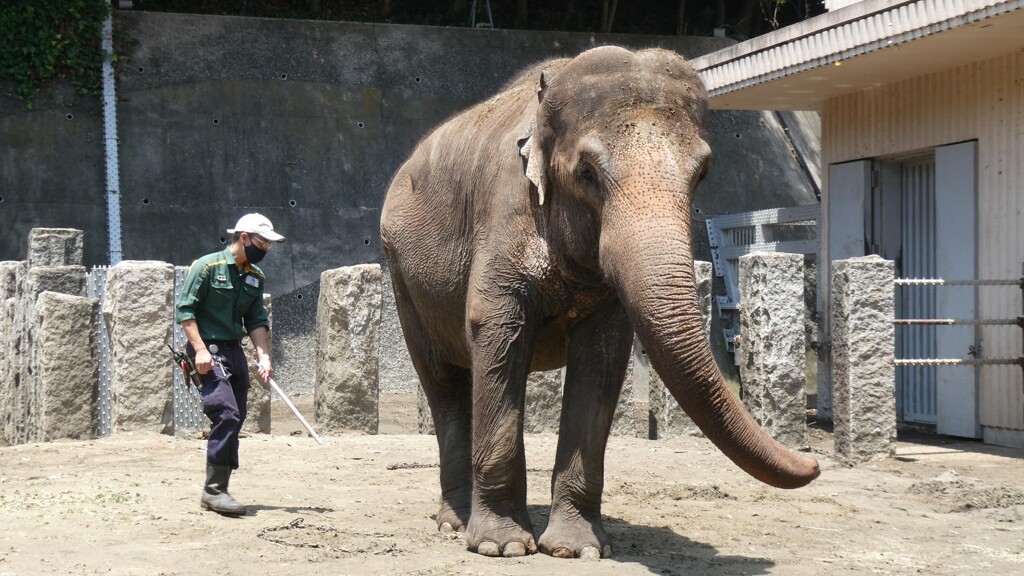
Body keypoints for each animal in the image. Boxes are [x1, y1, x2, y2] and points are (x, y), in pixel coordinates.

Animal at [380, 44, 819, 557]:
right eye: (587, 174)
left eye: (702, 173)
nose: (814, 464)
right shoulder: (503, 214)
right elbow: (496, 332)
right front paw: (503, 547)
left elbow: (602, 359)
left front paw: (577, 549)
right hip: (402, 276)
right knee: (445, 383)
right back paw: (455, 524)